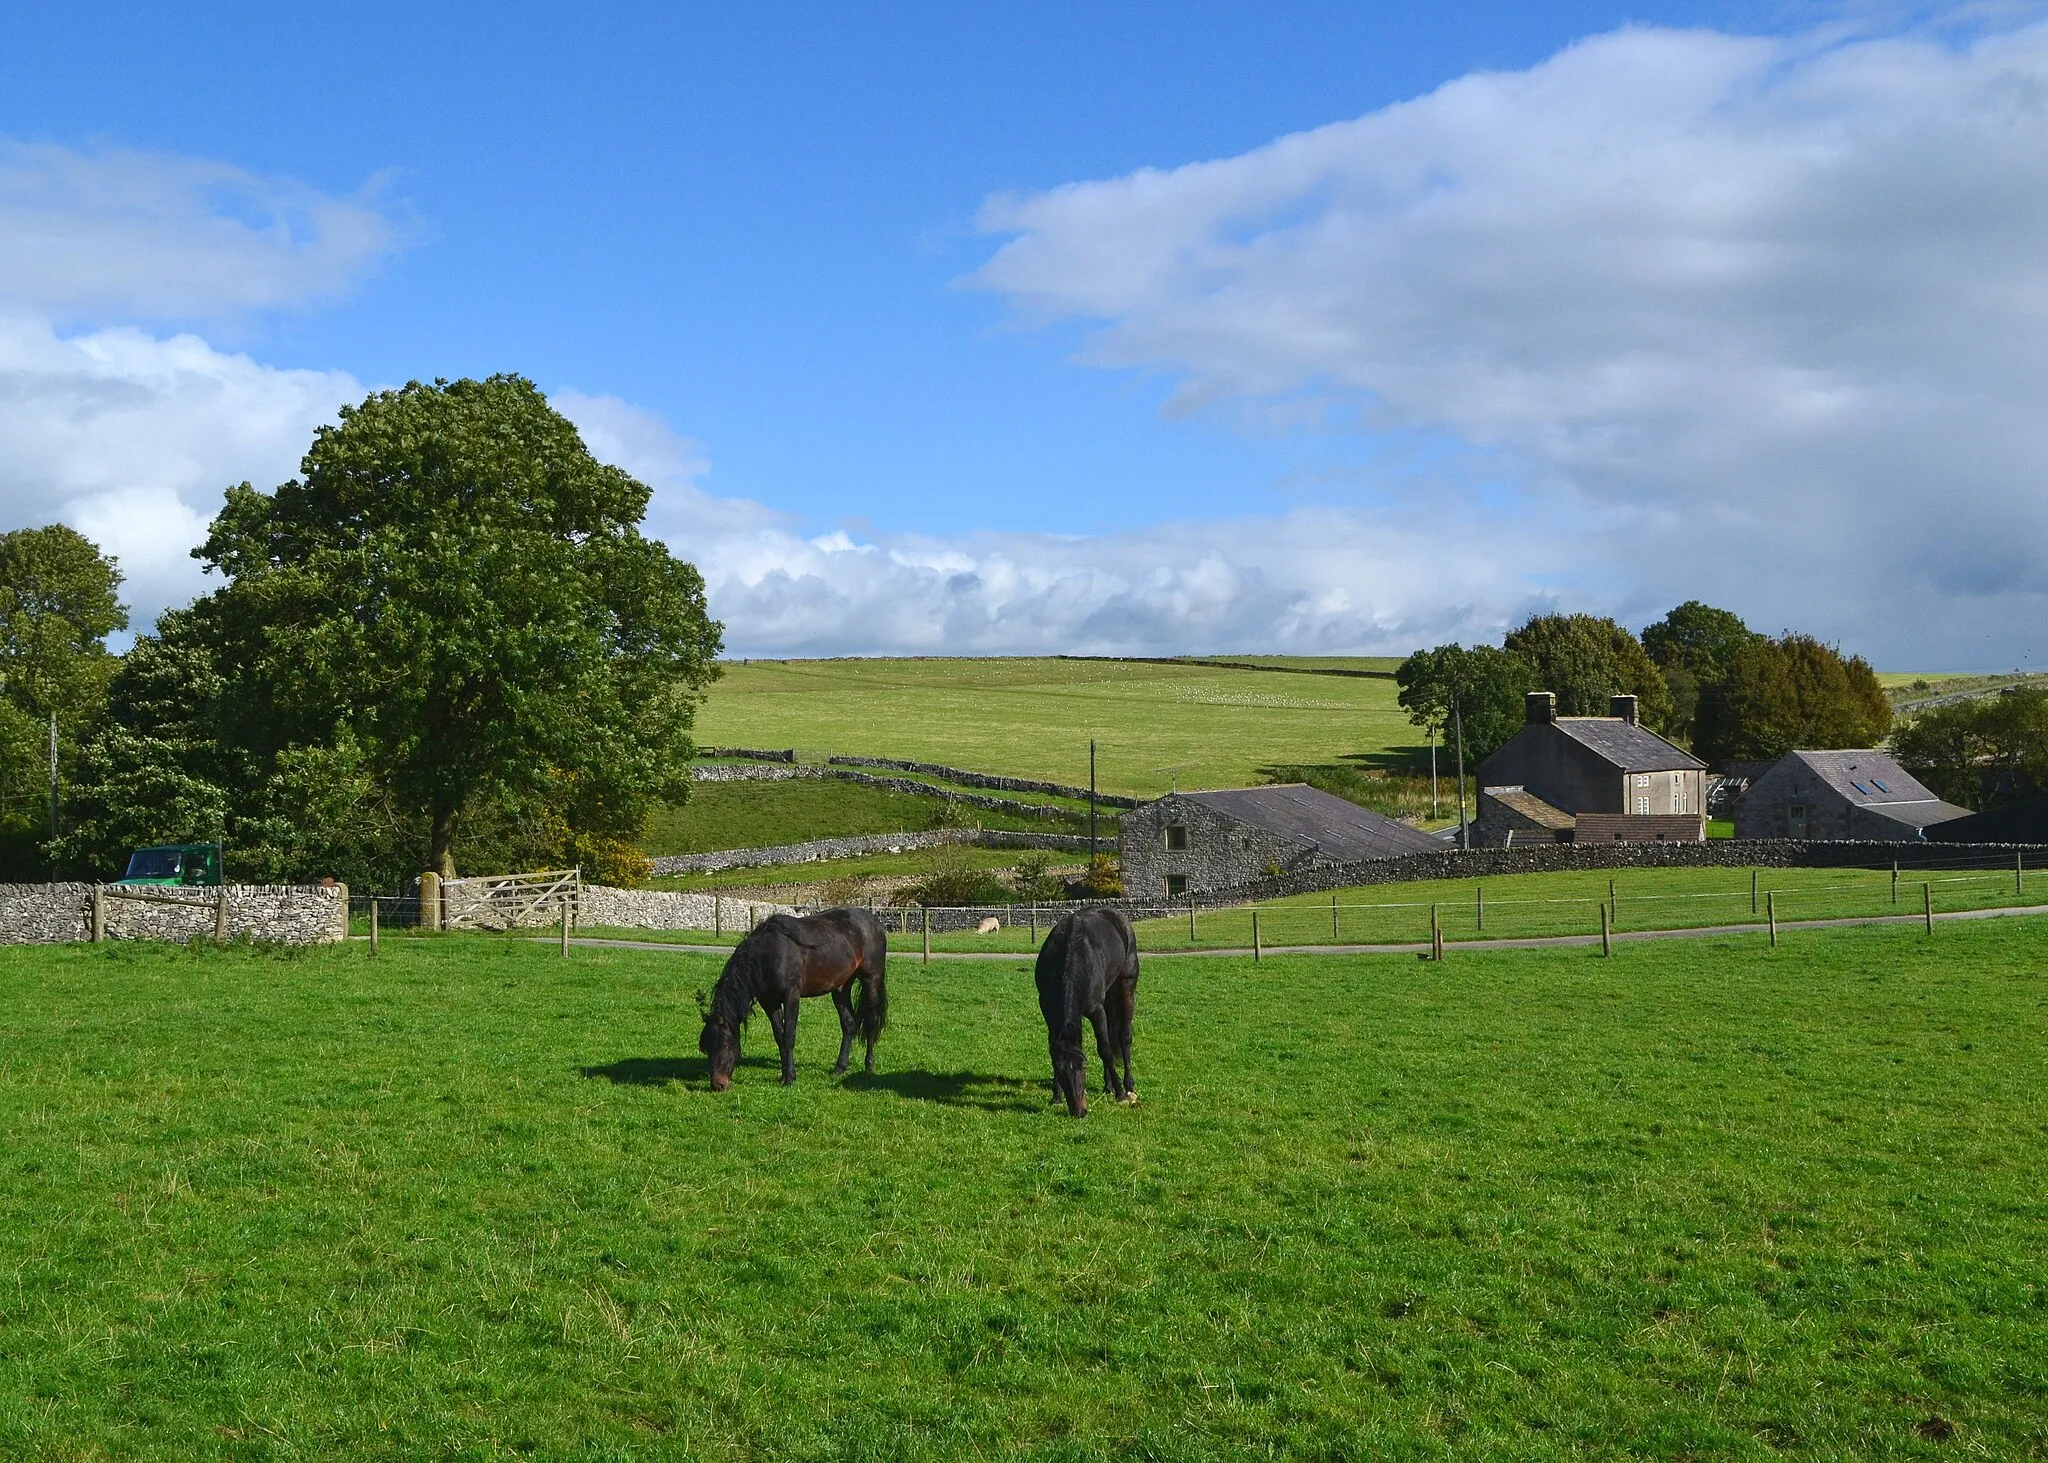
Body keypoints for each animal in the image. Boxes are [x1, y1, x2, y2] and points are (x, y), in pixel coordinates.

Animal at [700, 905, 884, 1090]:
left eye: (725, 1043)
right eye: (706, 1048)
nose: (718, 1085)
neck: (768, 954)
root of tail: (874, 922)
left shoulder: (791, 996)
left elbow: (789, 1035)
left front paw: (789, 1078)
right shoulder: (769, 1002)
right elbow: (779, 1035)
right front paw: (785, 1074)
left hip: (871, 979)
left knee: (871, 1021)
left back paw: (869, 1066)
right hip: (840, 988)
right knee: (849, 1024)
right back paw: (839, 1068)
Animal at [1032, 901, 1146, 1114]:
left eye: (1083, 1067)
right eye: (1061, 1070)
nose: (1079, 1112)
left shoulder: (1096, 1011)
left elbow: (1105, 1050)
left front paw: (1120, 1094)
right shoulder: (1048, 1011)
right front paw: (1056, 1096)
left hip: (1127, 985)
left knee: (1124, 1036)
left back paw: (1128, 1086)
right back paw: (1108, 1086)